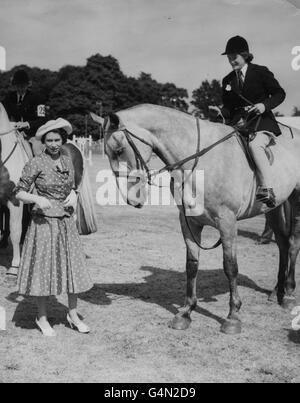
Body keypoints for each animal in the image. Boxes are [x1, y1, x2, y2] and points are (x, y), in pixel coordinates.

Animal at [91, 103, 300, 334]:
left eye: (119, 150)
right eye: (107, 152)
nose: (131, 199)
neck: (198, 161)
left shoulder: (227, 221)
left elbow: (230, 266)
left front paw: (233, 316)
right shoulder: (189, 222)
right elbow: (191, 265)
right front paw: (185, 312)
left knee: (293, 244)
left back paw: (289, 294)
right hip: (273, 208)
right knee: (282, 244)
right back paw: (277, 291)